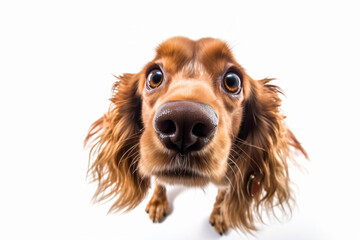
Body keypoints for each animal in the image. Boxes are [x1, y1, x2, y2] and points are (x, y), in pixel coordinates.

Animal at [84, 37, 306, 234]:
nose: (184, 121)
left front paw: (220, 215)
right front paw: (157, 202)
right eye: (154, 77)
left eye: (232, 80)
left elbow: (223, 193)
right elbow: (159, 180)